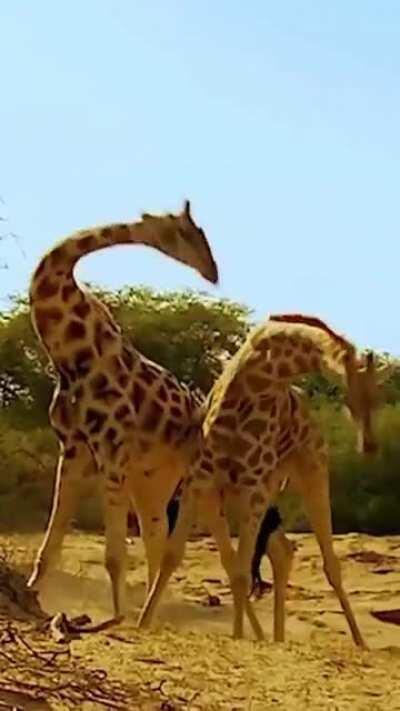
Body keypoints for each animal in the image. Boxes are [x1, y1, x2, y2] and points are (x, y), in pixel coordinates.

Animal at [26, 200, 222, 621]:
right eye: (184, 232)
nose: (212, 272)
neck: (71, 354)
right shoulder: (74, 448)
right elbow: (50, 546)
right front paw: (33, 596)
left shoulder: (110, 449)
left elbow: (113, 556)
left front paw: (115, 620)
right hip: (151, 478)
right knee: (155, 535)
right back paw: (149, 615)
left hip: (189, 475)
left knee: (176, 542)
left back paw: (147, 616)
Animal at [138, 313, 387, 646]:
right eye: (355, 395)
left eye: (379, 396)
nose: (370, 446)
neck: (261, 376)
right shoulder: (200, 478)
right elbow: (173, 556)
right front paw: (142, 623)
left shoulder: (252, 484)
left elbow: (242, 571)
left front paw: (238, 636)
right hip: (250, 490)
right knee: (282, 551)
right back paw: (277, 637)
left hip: (310, 471)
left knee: (329, 563)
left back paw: (360, 643)